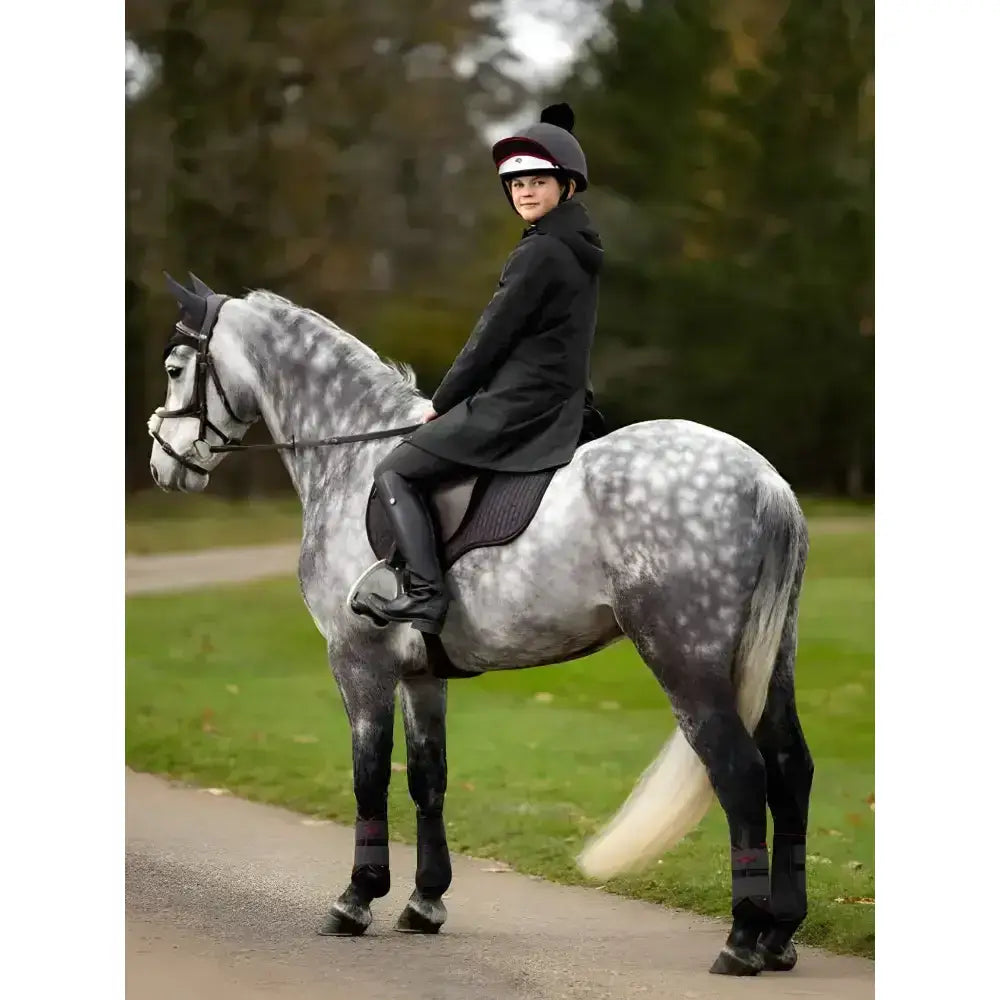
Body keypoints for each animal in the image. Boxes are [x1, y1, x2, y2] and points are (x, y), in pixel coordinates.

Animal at [146, 274, 812, 977]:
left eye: (175, 368)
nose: (164, 464)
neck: (355, 455)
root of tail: (762, 478)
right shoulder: (421, 676)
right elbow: (427, 777)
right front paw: (424, 902)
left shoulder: (359, 663)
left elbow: (369, 776)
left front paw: (357, 898)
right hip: (769, 661)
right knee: (790, 771)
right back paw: (778, 935)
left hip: (687, 662)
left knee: (741, 775)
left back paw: (741, 939)